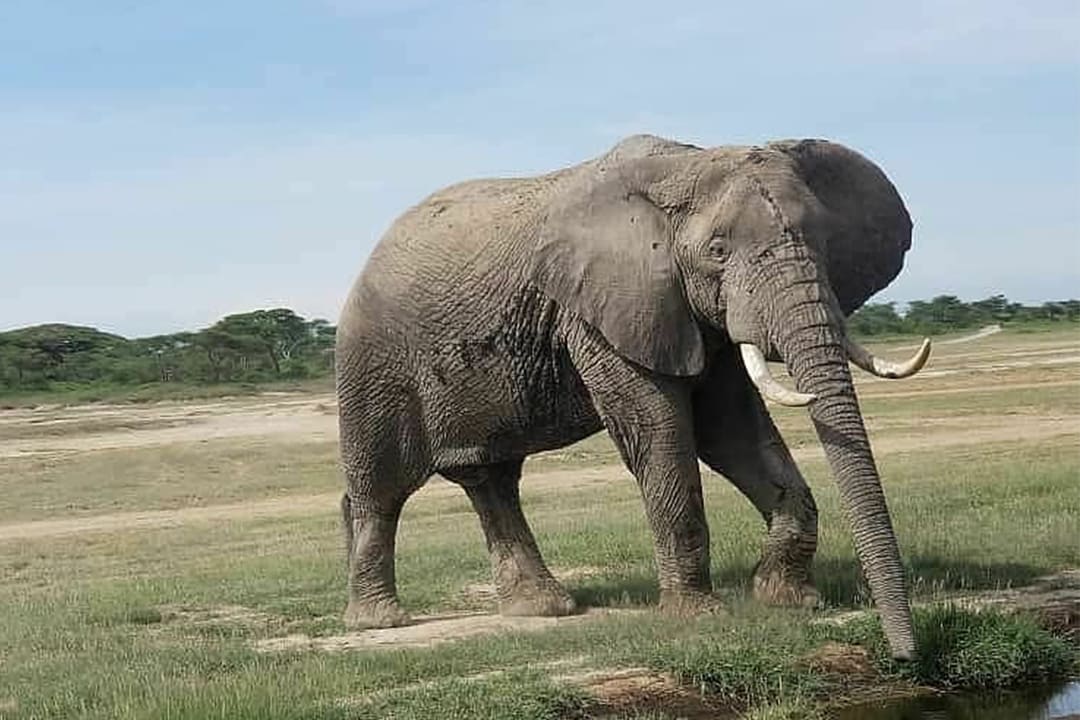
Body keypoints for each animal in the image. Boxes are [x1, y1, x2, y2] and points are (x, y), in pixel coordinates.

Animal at [334, 133, 928, 660]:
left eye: (825, 242)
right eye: (717, 252)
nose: (906, 658)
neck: (686, 164)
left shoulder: (687, 314)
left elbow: (731, 430)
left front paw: (789, 600)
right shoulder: (603, 312)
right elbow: (660, 431)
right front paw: (699, 616)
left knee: (492, 480)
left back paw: (544, 608)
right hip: (372, 362)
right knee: (381, 489)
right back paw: (381, 619)